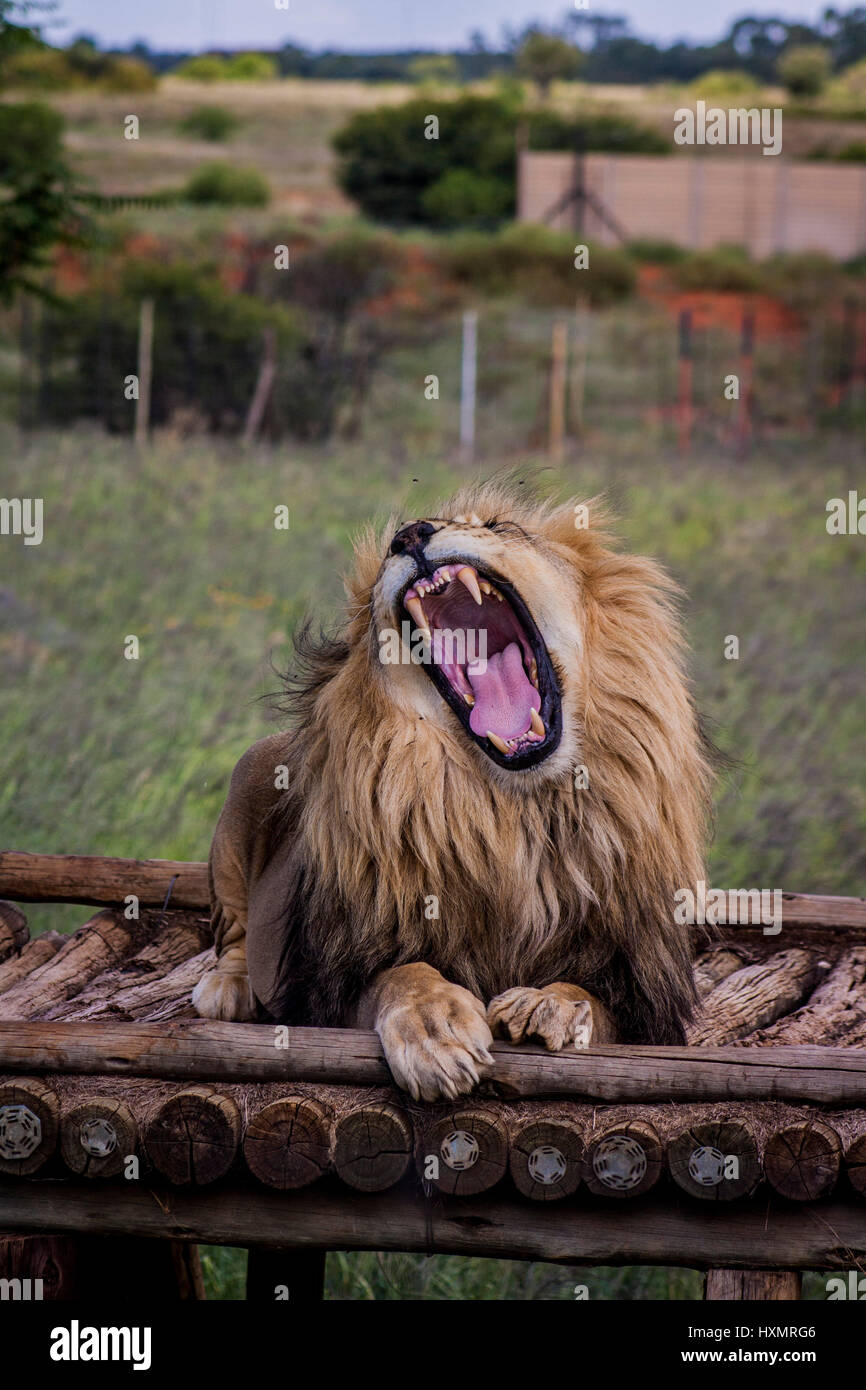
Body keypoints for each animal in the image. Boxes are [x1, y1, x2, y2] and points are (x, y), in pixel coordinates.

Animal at [193, 483, 717, 1100]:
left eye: (497, 527)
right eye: (389, 553)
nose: (410, 535)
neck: (517, 812)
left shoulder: (640, 1001)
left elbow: (588, 996)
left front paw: (549, 1007)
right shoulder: (330, 987)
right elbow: (404, 974)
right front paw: (435, 1032)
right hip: (243, 790)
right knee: (233, 933)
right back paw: (228, 990)